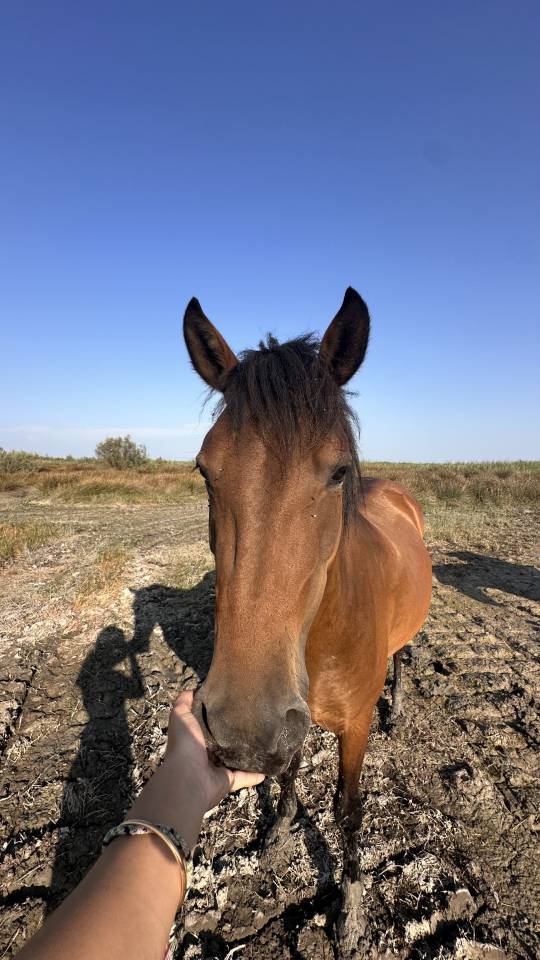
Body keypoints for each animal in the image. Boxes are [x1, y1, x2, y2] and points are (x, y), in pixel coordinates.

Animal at [183, 287, 432, 956]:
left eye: (338, 471)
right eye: (205, 469)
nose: (241, 728)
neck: (322, 639)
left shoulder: (351, 732)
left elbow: (348, 810)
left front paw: (349, 913)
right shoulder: (291, 718)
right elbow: (290, 769)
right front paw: (279, 829)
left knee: (404, 655)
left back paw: (399, 709)